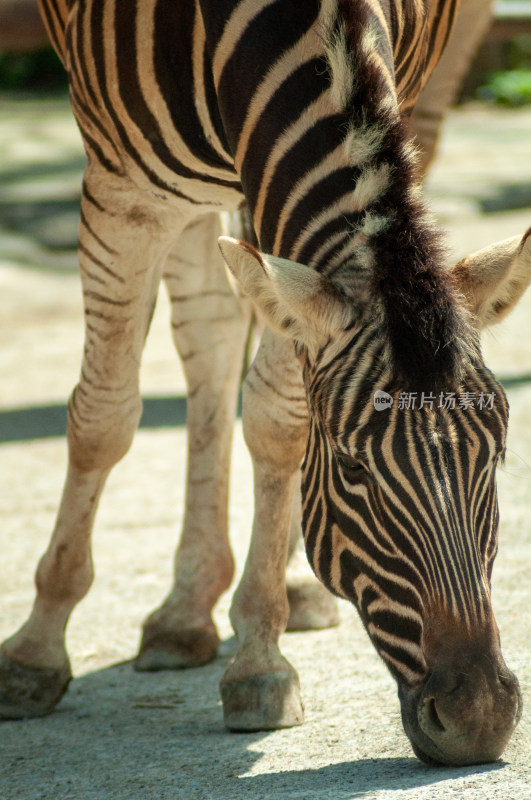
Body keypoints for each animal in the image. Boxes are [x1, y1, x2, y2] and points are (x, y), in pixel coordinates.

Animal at [0, 0, 528, 764]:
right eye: (352, 470)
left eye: (498, 458)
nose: (478, 718)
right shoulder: (124, 189)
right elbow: (103, 418)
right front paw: (36, 650)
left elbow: (279, 422)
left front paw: (259, 656)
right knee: (210, 327)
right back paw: (185, 612)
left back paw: (267, 588)